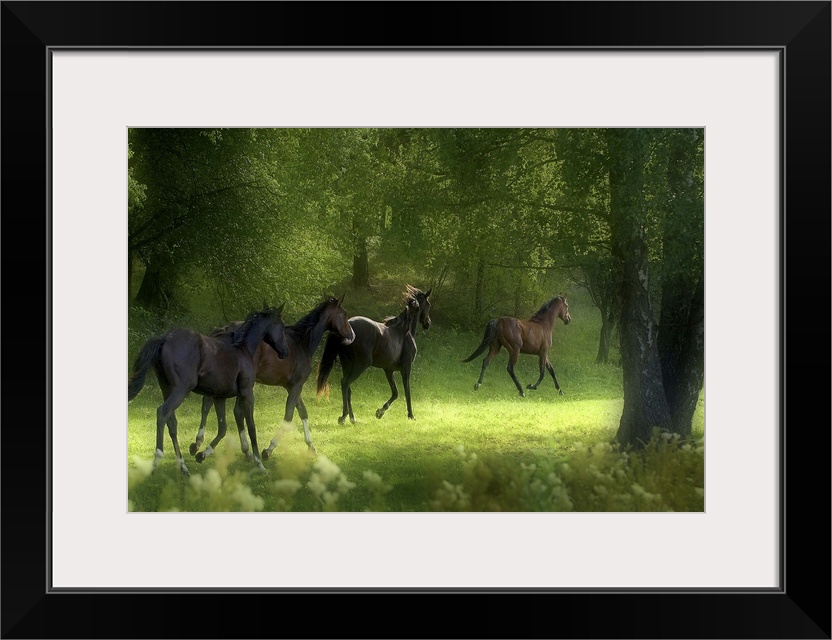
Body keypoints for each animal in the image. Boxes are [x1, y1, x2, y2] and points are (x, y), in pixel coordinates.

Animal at [127, 304, 290, 476]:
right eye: (282, 326)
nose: (285, 352)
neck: (243, 349)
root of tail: (165, 338)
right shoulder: (247, 393)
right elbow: (251, 427)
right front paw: (259, 464)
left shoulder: (219, 397)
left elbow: (223, 428)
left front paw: (202, 454)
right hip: (181, 389)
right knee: (162, 413)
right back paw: (157, 460)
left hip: (167, 389)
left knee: (172, 422)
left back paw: (183, 467)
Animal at [193, 296, 356, 464]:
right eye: (344, 314)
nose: (352, 335)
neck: (301, 342)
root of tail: (222, 330)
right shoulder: (297, 386)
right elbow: (289, 415)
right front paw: (269, 449)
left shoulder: (291, 387)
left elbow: (303, 412)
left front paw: (311, 446)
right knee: (232, 410)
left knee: (210, 404)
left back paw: (203, 444)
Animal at [316, 284, 432, 424]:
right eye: (428, 304)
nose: (428, 323)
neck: (404, 331)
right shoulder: (406, 368)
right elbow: (407, 392)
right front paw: (411, 415)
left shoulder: (388, 370)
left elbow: (395, 393)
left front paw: (380, 412)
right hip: (360, 365)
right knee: (345, 383)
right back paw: (343, 417)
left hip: (347, 365)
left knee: (348, 388)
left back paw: (352, 419)